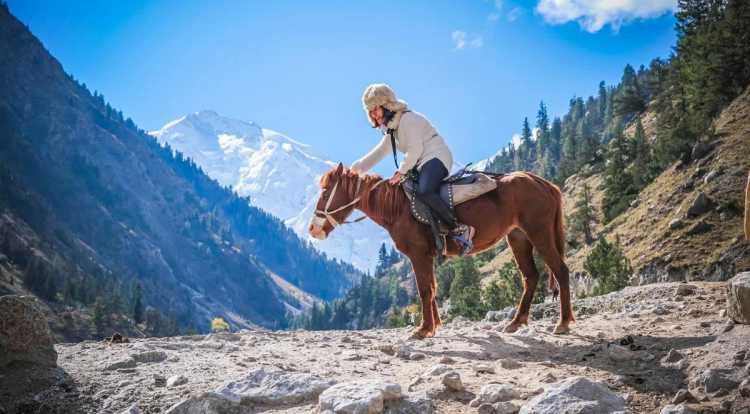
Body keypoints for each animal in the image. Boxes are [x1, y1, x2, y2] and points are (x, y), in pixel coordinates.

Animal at [306, 163, 576, 338]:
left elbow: (425, 290)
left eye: (326, 192)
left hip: (539, 233)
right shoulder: (427, 257)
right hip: (518, 237)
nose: (313, 230)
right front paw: (434, 325)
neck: (399, 207)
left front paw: (424, 329)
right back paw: (515, 323)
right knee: (530, 276)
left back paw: (563, 323)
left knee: (560, 271)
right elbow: (433, 289)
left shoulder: (418, 255)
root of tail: (544, 183)